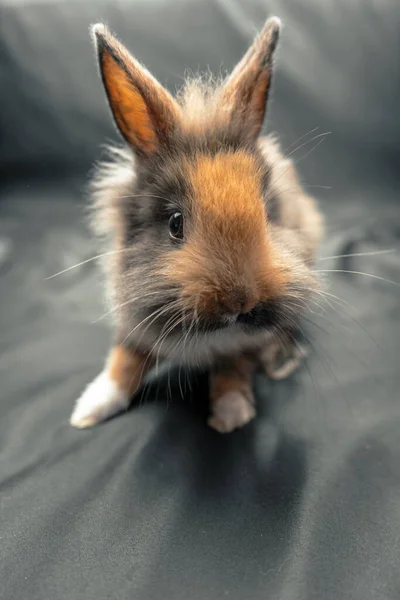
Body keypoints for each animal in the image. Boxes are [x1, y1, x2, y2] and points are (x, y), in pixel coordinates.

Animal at [70, 17, 324, 432]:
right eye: (176, 223)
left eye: (268, 212)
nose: (241, 302)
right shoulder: (134, 324)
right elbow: (124, 361)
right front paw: (88, 410)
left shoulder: (242, 345)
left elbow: (233, 368)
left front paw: (231, 414)